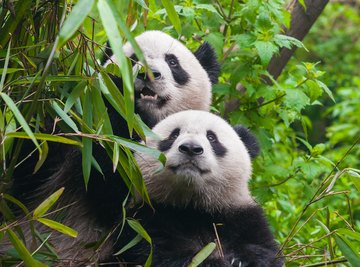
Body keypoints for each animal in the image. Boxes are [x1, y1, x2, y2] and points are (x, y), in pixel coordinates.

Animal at [116, 110, 282, 266]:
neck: (194, 205)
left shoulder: (243, 217)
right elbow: (158, 252)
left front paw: (242, 260)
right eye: (174, 135)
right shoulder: (147, 217)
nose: (190, 148)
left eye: (211, 137)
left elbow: (265, 250)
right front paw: (212, 262)